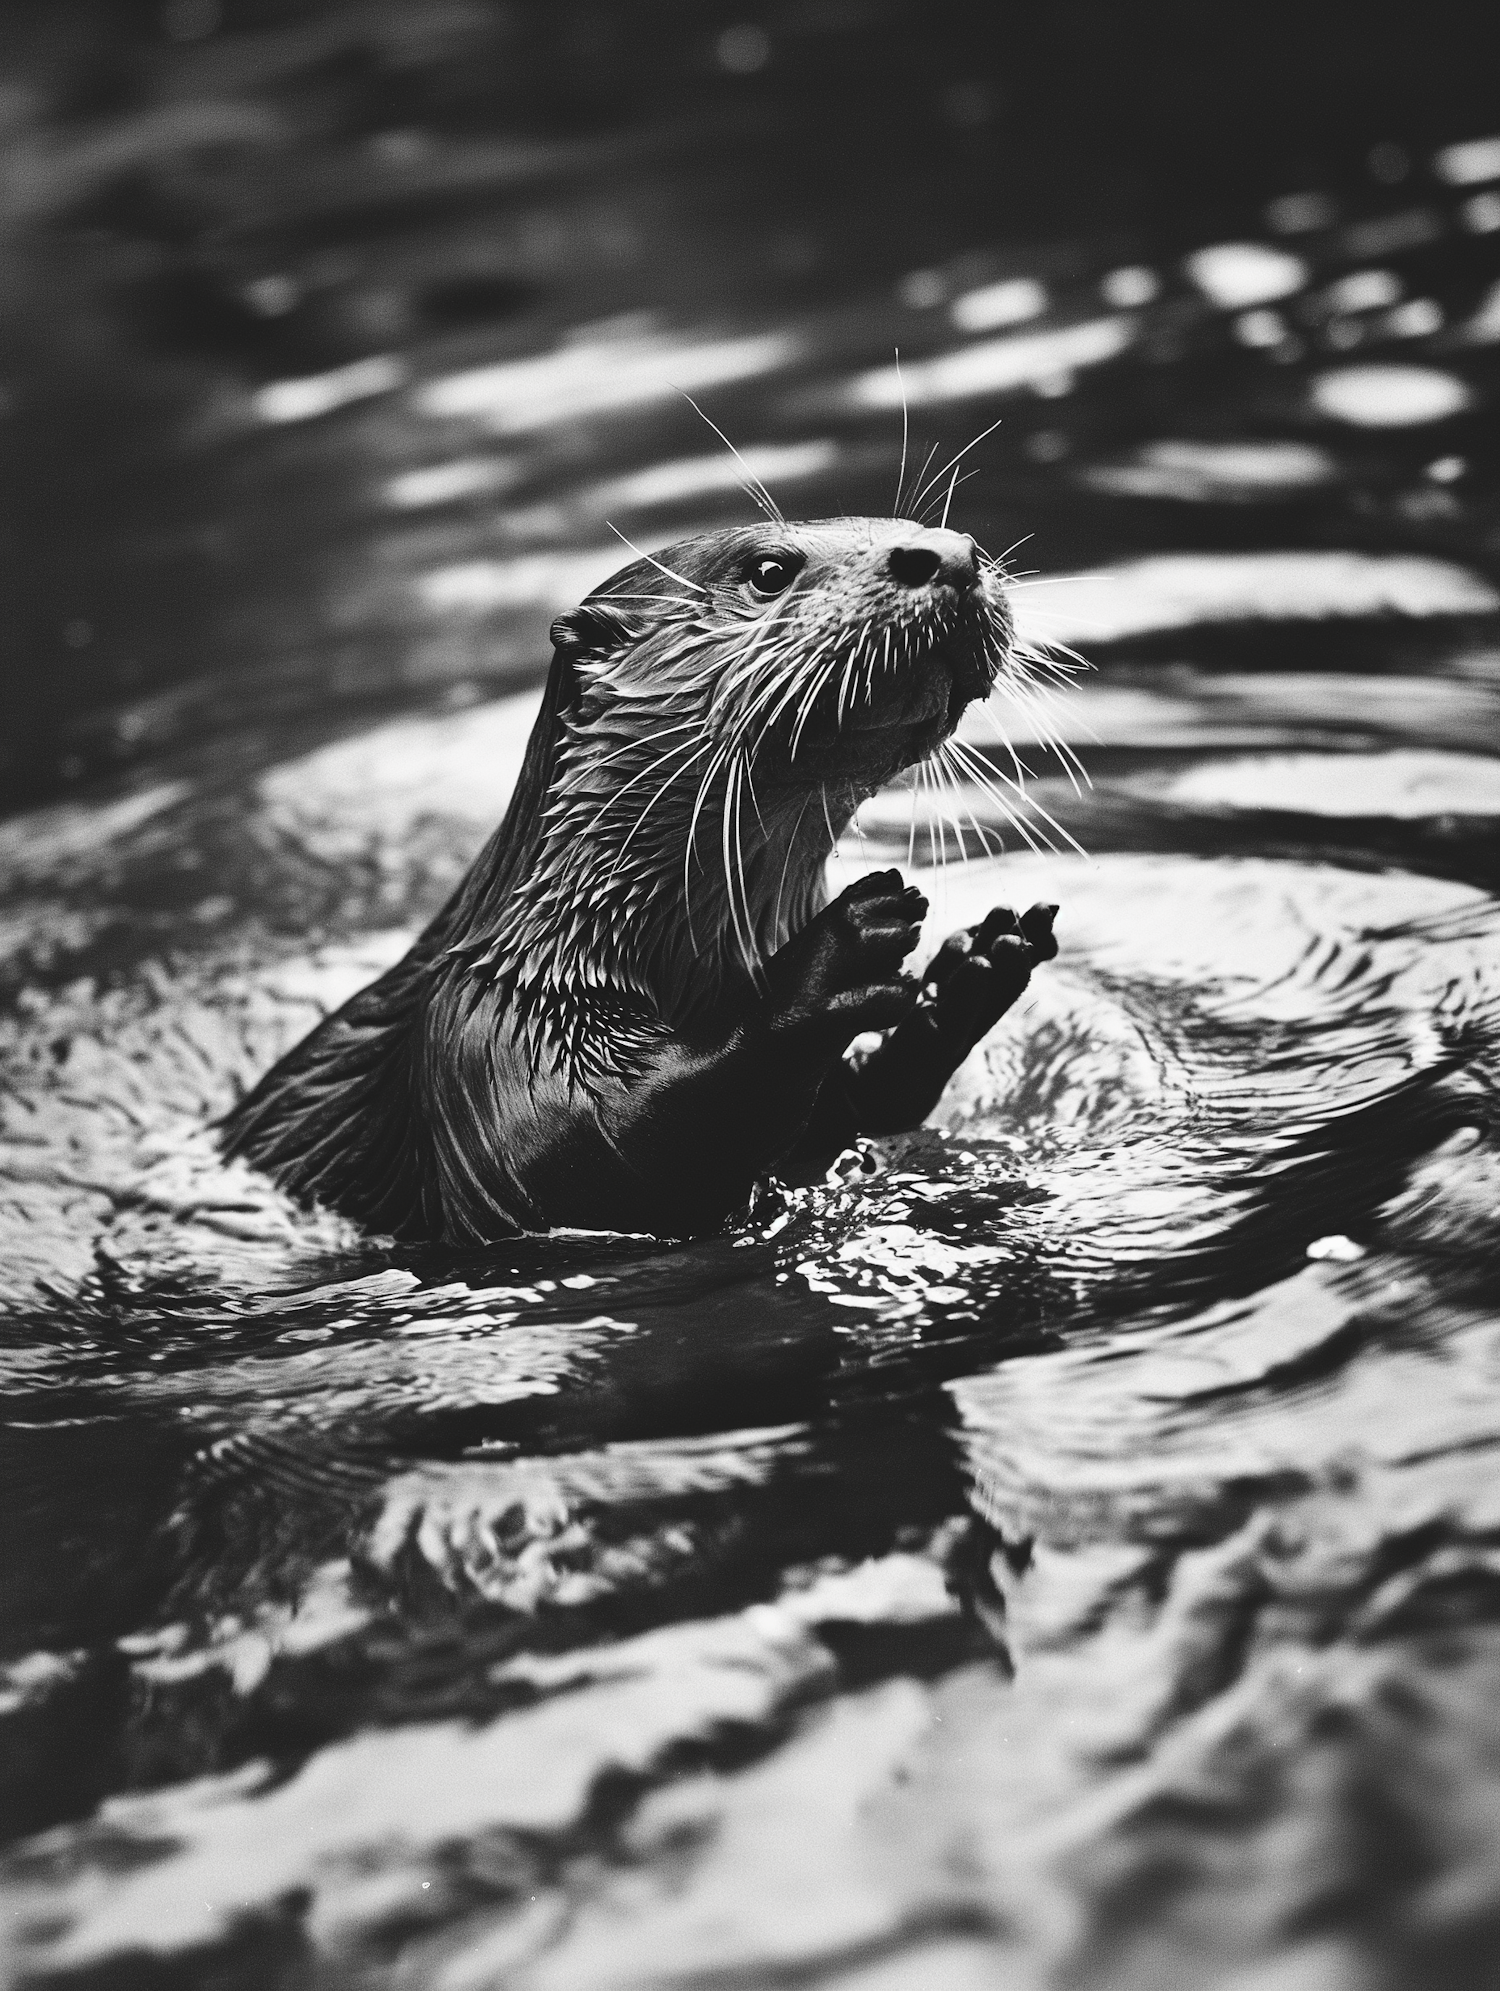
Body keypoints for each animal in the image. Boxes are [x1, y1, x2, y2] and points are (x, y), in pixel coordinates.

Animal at [228, 525, 1059, 1242]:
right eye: (768, 569)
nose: (949, 554)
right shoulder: (479, 1043)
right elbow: (603, 1151)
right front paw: (837, 952)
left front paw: (973, 971)